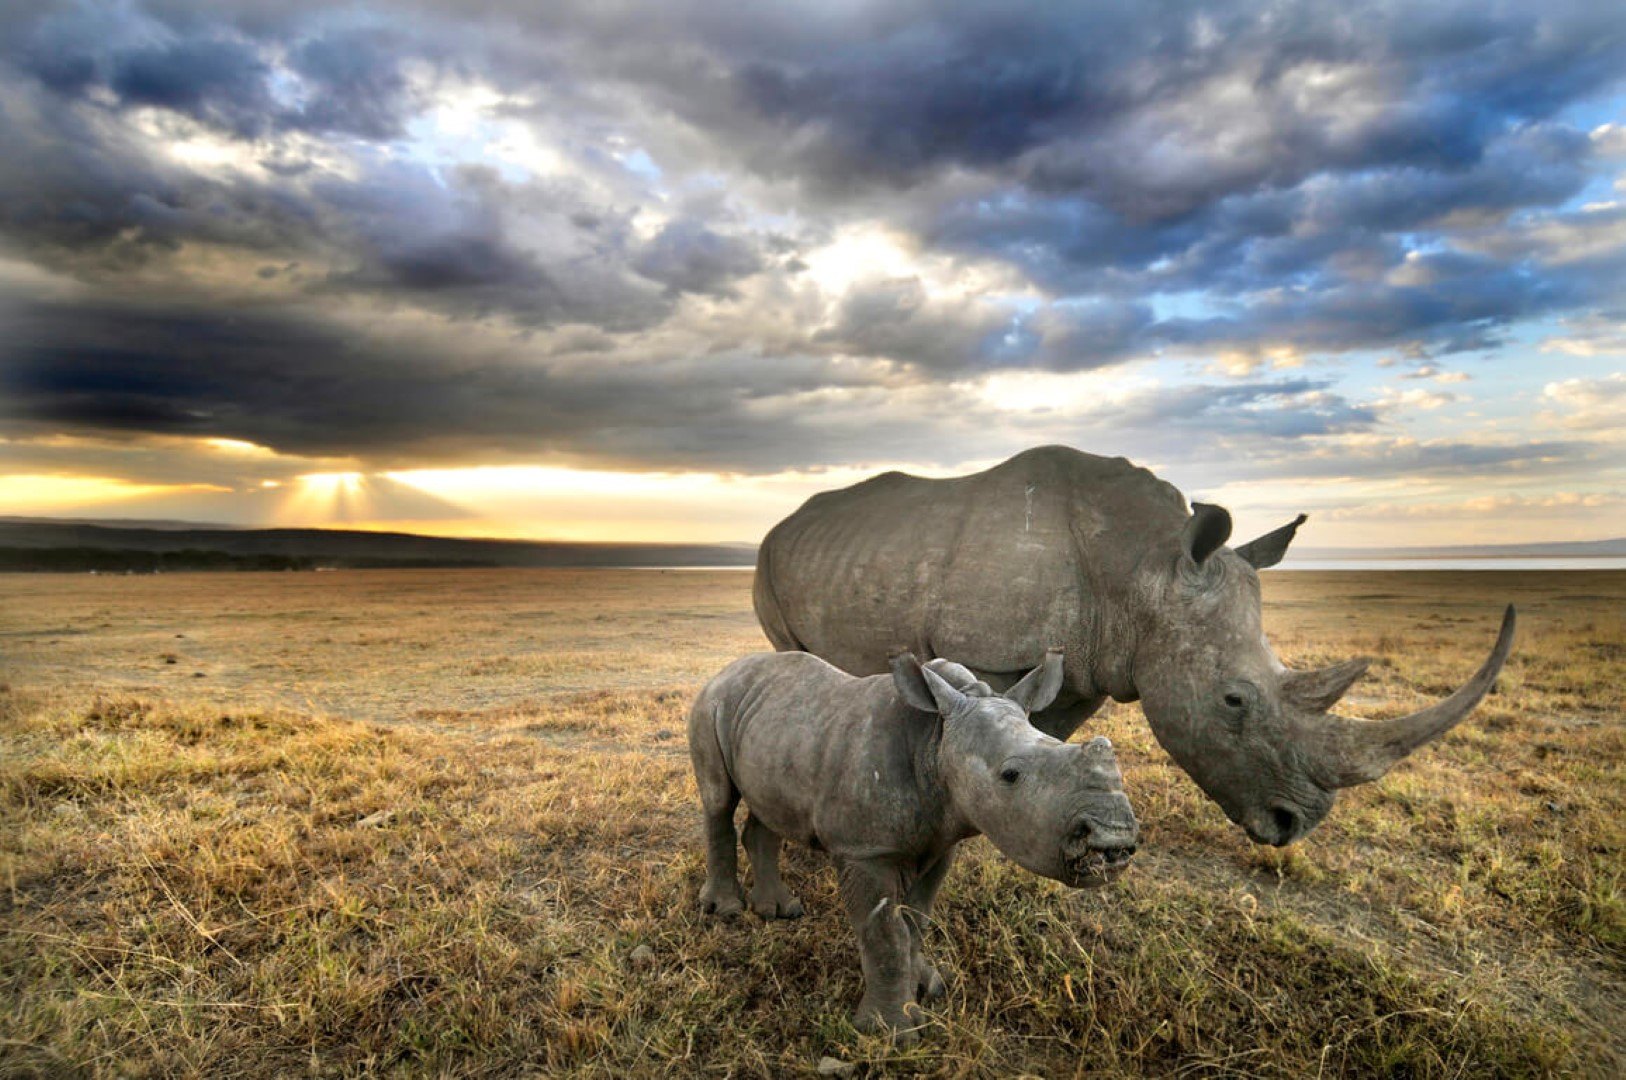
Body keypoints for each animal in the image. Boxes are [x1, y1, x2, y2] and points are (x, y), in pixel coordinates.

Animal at [692, 644, 1138, 1040]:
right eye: (1010, 775)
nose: (1114, 838)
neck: (936, 739)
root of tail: (726, 670)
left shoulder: (941, 841)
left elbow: (916, 919)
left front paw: (927, 989)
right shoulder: (864, 849)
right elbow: (886, 934)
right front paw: (891, 1032)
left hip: (774, 725)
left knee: (767, 807)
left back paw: (779, 912)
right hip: (711, 703)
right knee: (718, 800)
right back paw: (726, 910)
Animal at [754, 442, 1515, 845]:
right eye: (1234, 701)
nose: (1293, 825)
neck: (1144, 568)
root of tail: (785, 520)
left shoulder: (1091, 661)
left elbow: (1045, 738)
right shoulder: (993, 650)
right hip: (769, 558)